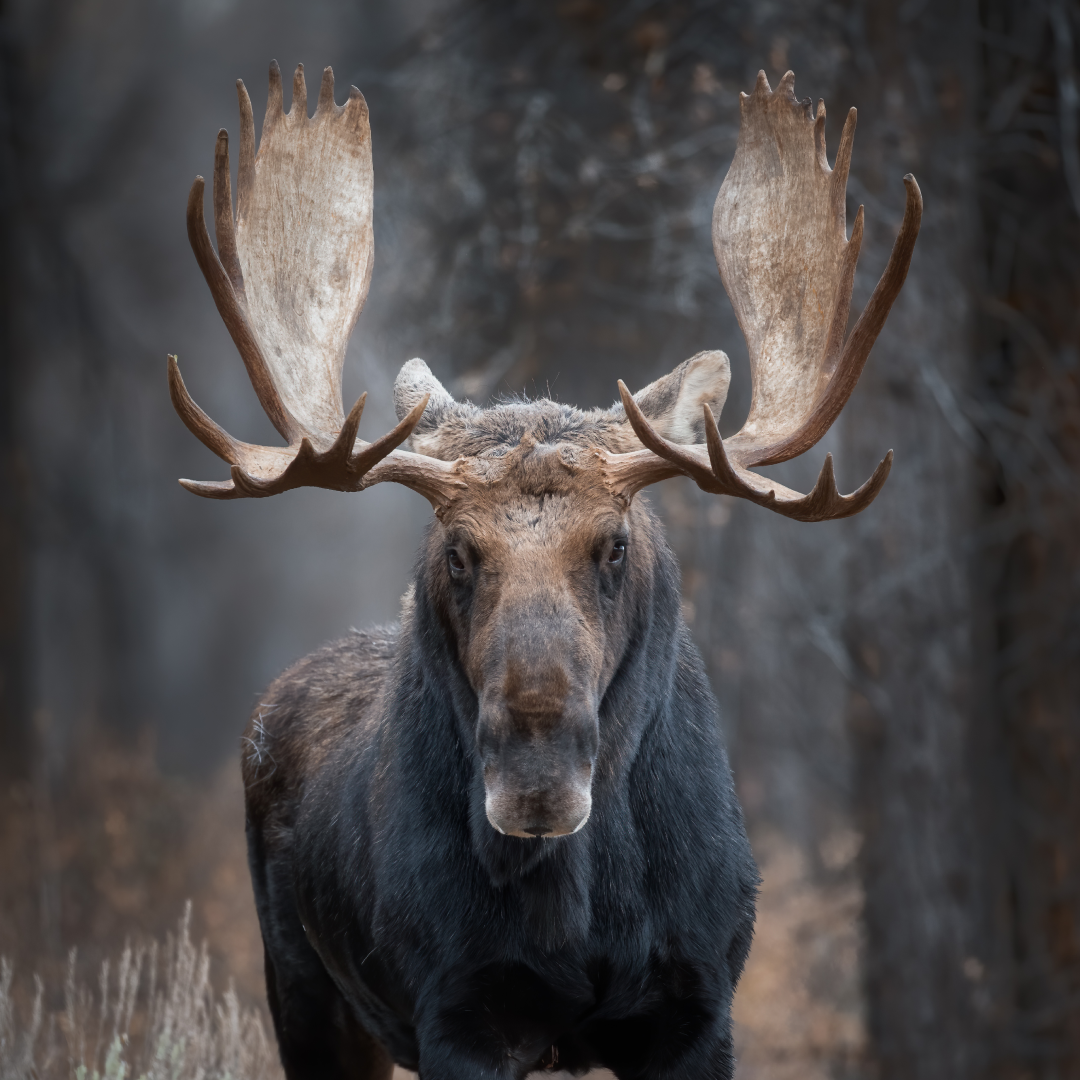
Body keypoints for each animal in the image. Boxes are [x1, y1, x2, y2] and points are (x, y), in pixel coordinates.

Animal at [168, 61, 920, 1080]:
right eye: (456, 549)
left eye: (614, 544)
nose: (537, 776)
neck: (586, 913)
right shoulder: (460, 1010)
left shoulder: (698, 1007)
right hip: (303, 987)